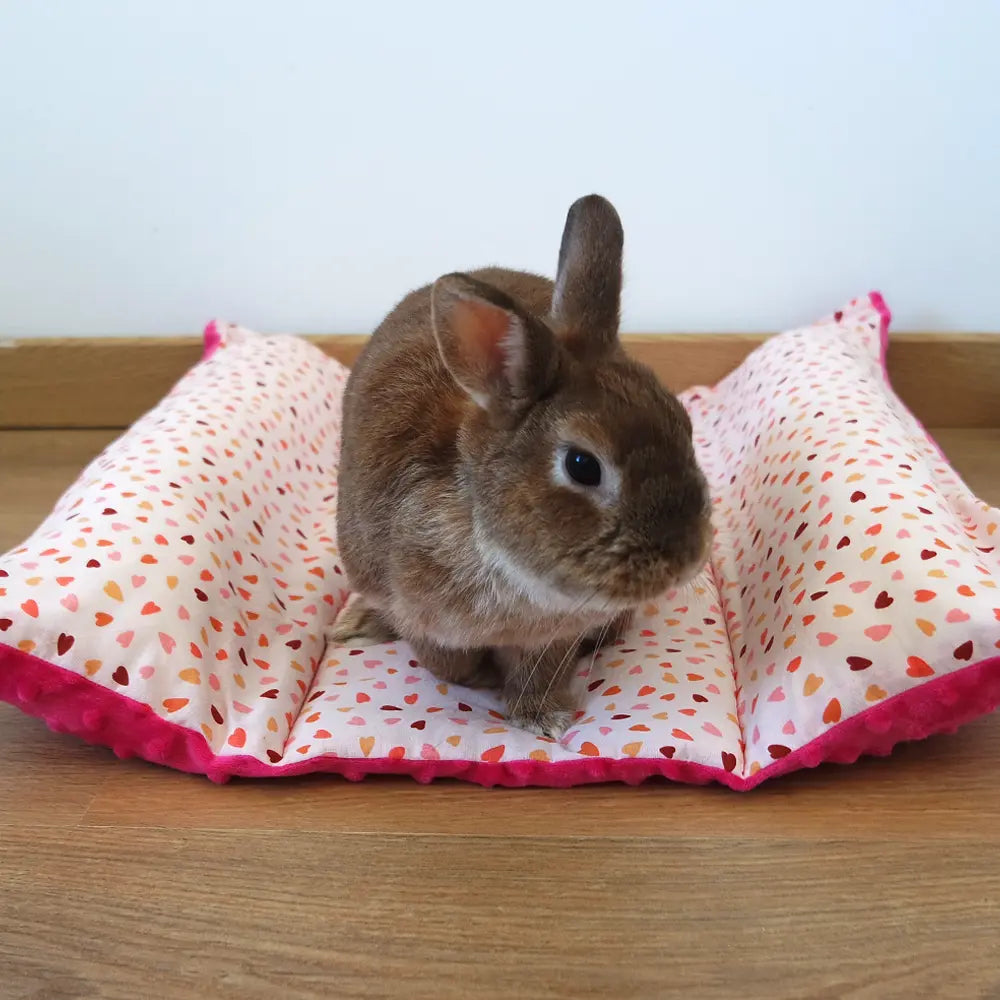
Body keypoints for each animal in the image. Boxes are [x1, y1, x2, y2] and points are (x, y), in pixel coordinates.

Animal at [330, 194, 712, 738]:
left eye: (684, 423)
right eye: (582, 465)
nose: (687, 558)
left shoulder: (553, 636)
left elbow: (542, 670)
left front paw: (541, 716)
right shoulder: (418, 617)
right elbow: (446, 664)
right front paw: (482, 680)